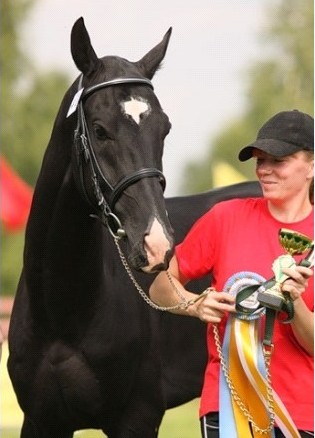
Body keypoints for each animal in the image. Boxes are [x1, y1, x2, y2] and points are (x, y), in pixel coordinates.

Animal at [8, 18, 262, 438]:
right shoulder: (42, 420)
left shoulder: (137, 417)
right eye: (99, 130)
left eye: (164, 129)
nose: (158, 244)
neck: (62, 314)